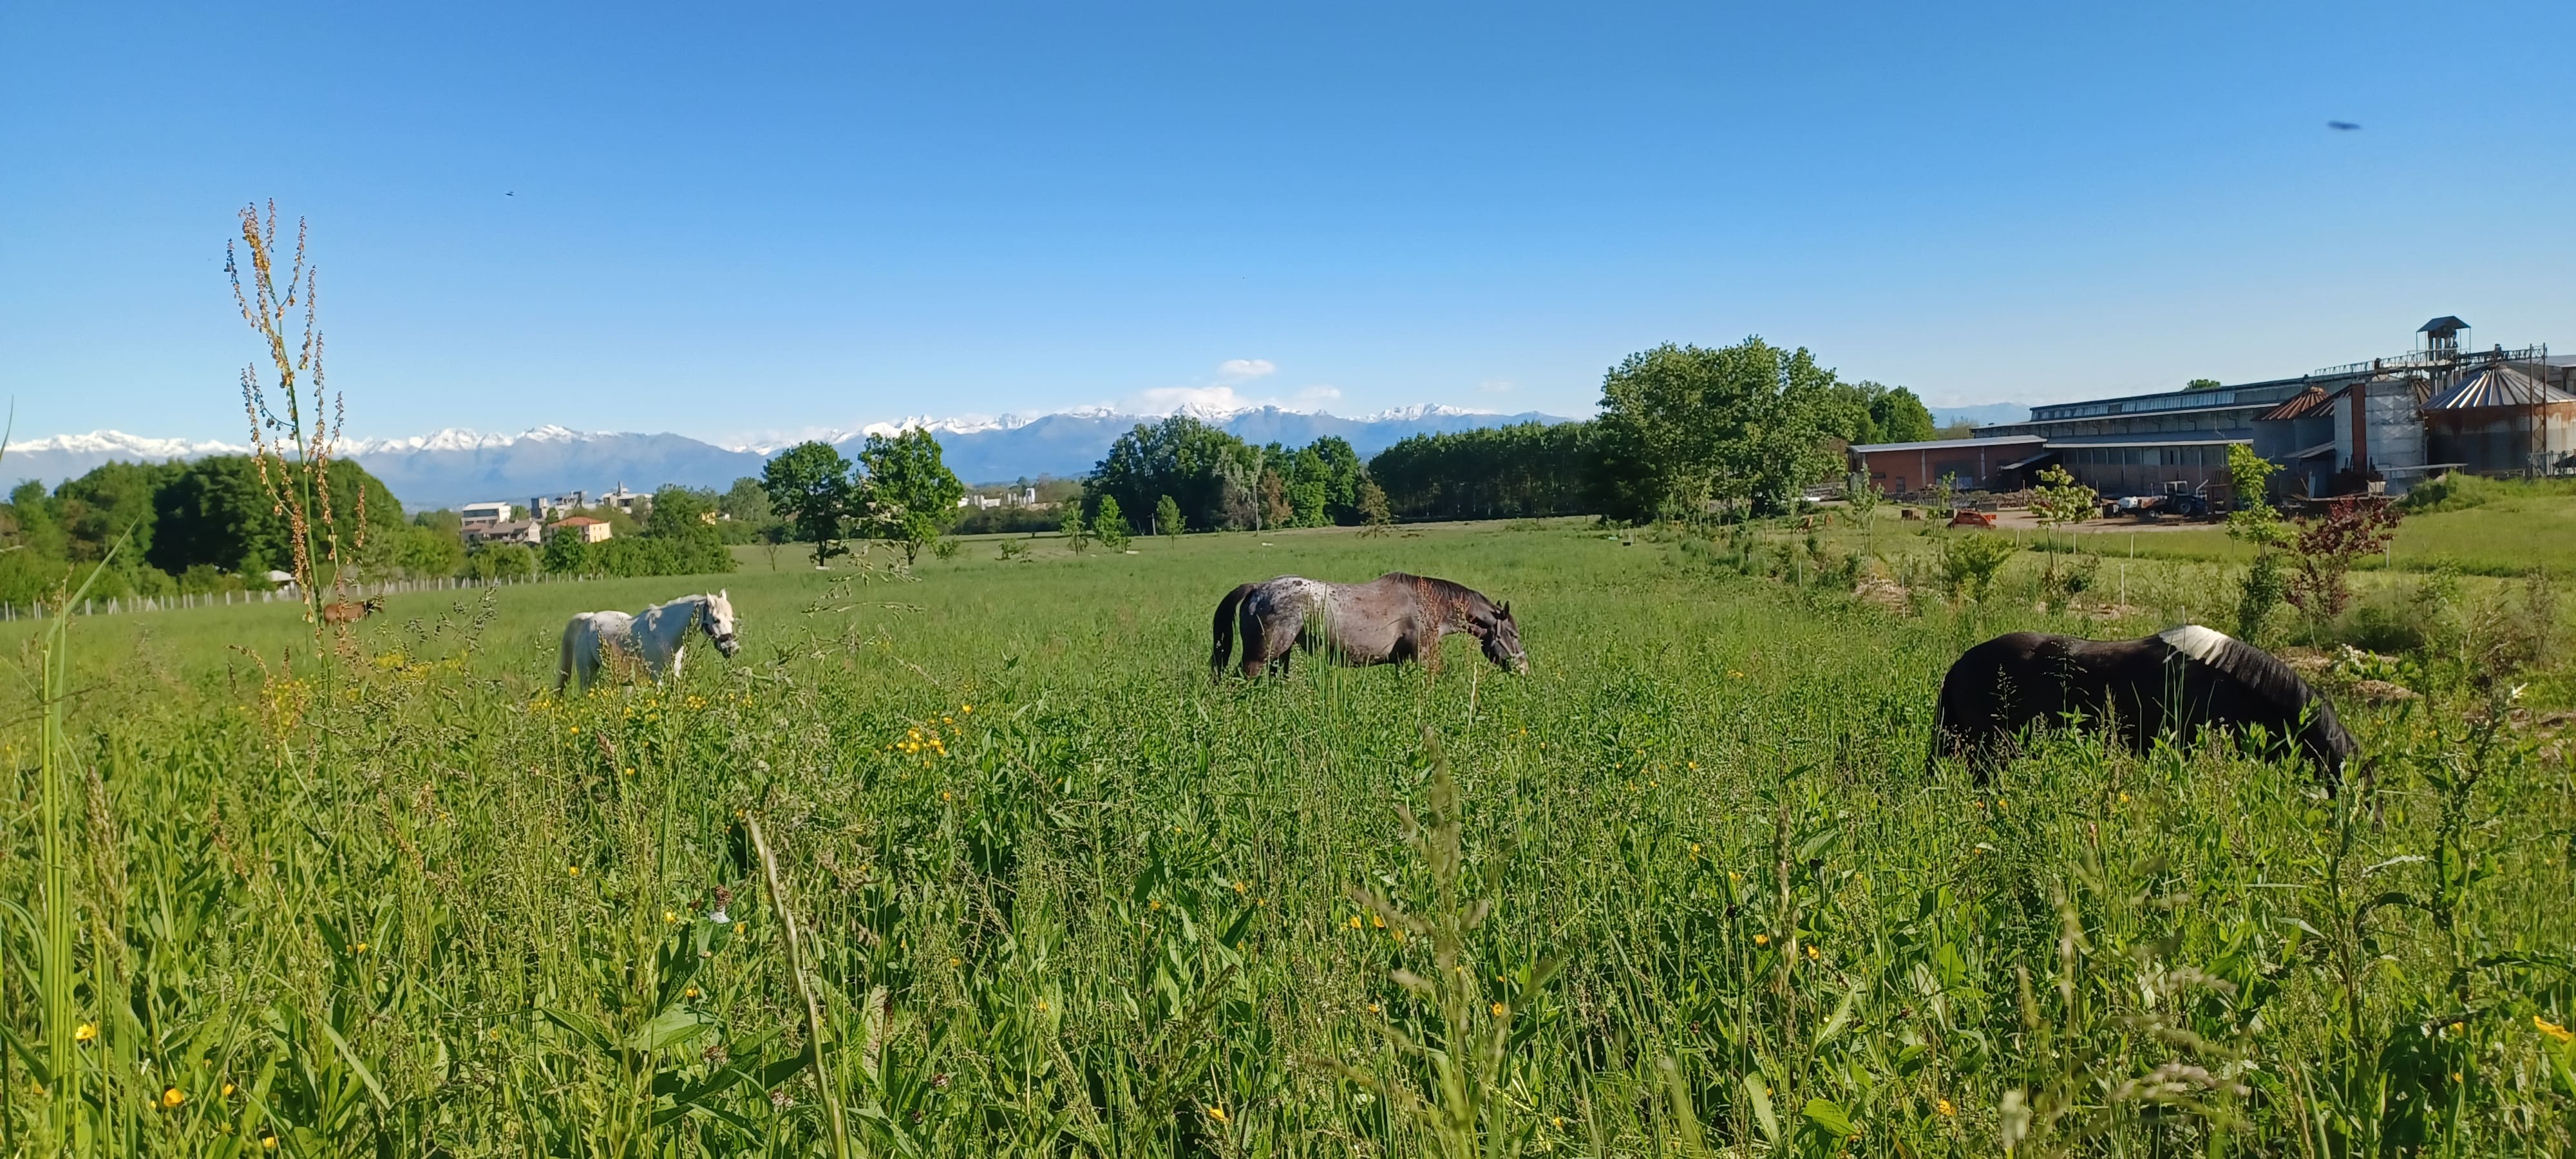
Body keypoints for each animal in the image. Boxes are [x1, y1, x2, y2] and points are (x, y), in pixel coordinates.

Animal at [557, 591, 740, 692]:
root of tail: (589, 618)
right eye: (716, 620)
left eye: (731, 620)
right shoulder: (655, 676)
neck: (665, 632)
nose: (731, 648)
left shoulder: (674, 673)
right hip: (587, 672)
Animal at [1210, 573, 1527, 679]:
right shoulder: (1422, 659)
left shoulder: (1403, 662)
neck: (1428, 604)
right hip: (1258, 658)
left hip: (1280, 657)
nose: (1524, 669)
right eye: (1513, 634)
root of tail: (1258, 588)